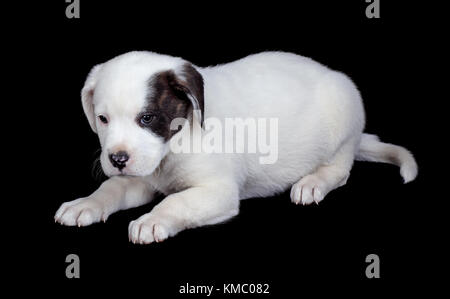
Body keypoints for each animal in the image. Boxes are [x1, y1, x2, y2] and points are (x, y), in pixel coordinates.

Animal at [53, 51, 418, 244]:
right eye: (102, 119)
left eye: (147, 118)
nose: (117, 158)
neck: (175, 145)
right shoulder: (141, 176)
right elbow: (112, 188)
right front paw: (86, 203)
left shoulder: (217, 192)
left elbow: (177, 201)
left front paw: (153, 219)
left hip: (342, 122)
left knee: (339, 170)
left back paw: (313, 182)